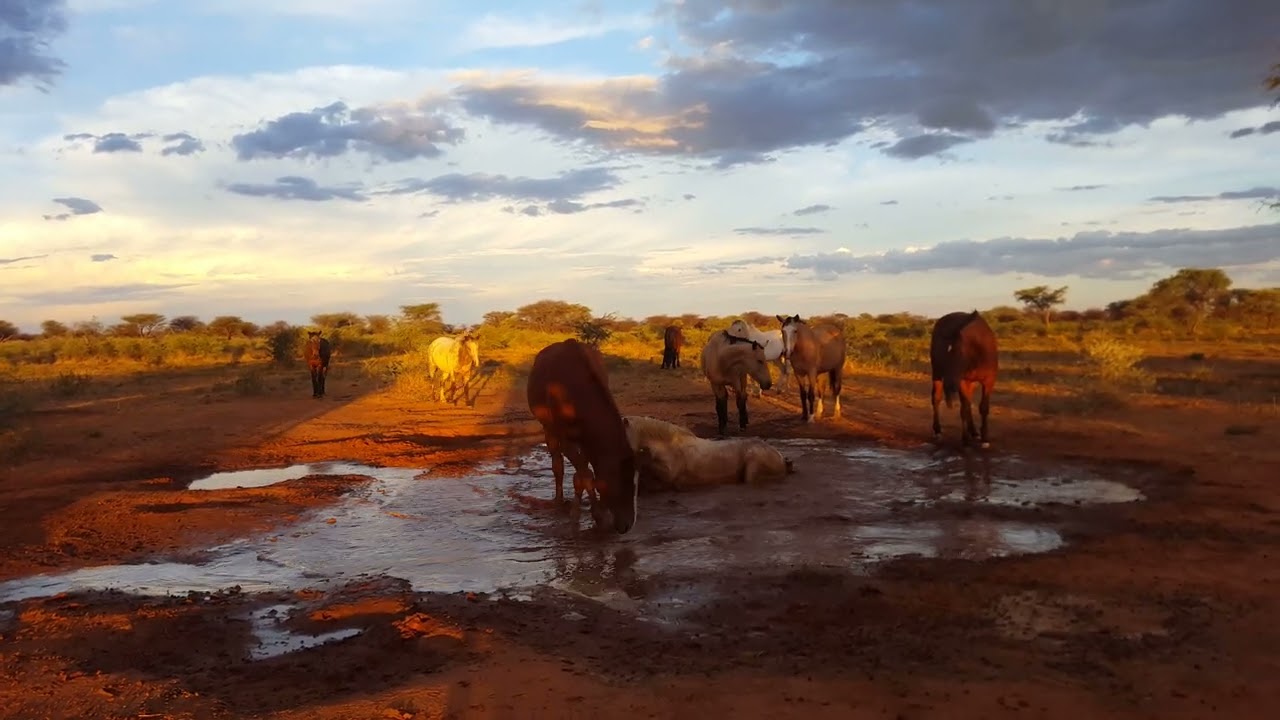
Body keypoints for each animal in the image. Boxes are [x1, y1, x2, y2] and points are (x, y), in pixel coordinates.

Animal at [526, 338, 638, 534]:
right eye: (620, 482)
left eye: (634, 483)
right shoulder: (565, 438)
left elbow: (582, 475)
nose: (627, 524)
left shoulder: (587, 439)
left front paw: (587, 511)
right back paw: (559, 500)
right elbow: (585, 474)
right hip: (548, 429)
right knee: (557, 464)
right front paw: (597, 515)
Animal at [930, 310, 999, 449]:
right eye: (945, 354)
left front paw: (985, 438)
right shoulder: (962, 381)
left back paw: (974, 432)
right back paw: (938, 430)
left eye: (960, 354)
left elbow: (983, 407)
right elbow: (964, 409)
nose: (950, 385)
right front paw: (965, 439)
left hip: (970, 383)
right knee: (936, 398)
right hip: (937, 373)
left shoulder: (988, 381)